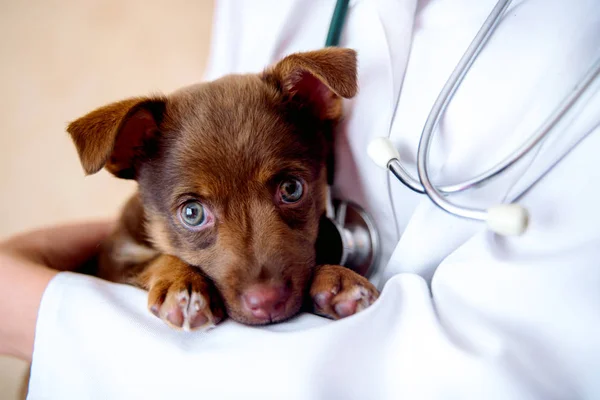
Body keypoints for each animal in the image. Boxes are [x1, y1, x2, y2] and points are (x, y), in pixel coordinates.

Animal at [69, 47, 380, 330]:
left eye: (291, 189)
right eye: (192, 213)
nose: (266, 302)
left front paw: (336, 277)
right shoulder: (114, 259)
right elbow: (155, 259)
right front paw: (182, 283)